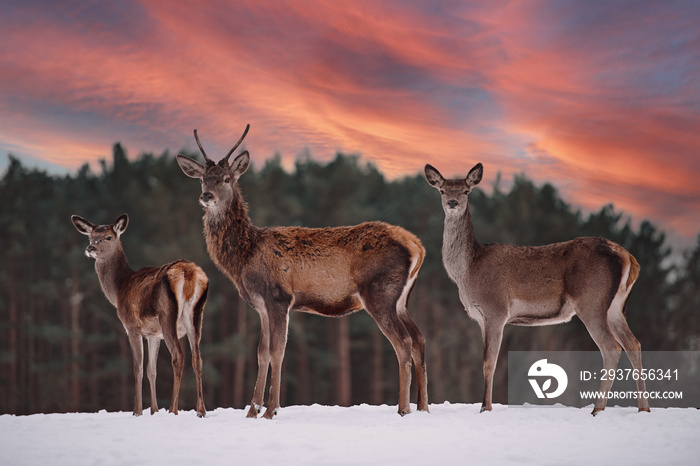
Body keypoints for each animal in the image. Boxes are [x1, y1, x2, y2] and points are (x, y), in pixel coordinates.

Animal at [72, 215, 208, 418]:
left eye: (108, 237)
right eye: (91, 236)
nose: (90, 248)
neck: (119, 290)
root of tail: (188, 272)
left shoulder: (132, 327)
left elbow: (138, 368)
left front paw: (137, 411)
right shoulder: (153, 334)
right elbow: (152, 369)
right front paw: (154, 409)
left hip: (167, 315)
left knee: (178, 356)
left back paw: (173, 409)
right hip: (196, 315)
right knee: (197, 358)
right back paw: (201, 410)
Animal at [175, 124, 426, 418]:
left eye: (226, 179)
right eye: (203, 179)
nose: (207, 196)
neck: (244, 258)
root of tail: (417, 246)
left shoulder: (279, 297)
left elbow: (277, 351)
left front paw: (271, 410)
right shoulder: (261, 306)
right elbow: (261, 352)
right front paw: (252, 411)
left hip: (380, 292)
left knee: (403, 342)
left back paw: (403, 408)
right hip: (401, 299)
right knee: (419, 339)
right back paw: (423, 407)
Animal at [426, 163, 652, 416]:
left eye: (466, 191)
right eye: (442, 190)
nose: (452, 203)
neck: (467, 271)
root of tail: (627, 257)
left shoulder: (495, 309)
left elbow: (489, 361)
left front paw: (485, 407)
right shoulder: (482, 318)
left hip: (591, 301)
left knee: (611, 347)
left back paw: (597, 409)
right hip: (615, 306)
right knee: (633, 344)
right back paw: (643, 409)